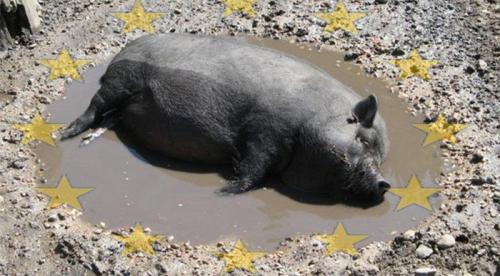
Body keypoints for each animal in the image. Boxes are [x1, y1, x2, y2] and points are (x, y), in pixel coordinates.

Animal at [60, 33, 390, 204]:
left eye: (380, 156)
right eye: (362, 140)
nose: (384, 182)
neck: (313, 118)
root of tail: (123, 50)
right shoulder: (264, 131)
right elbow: (253, 169)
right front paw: (222, 192)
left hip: (125, 103)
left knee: (111, 118)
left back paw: (84, 140)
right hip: (121, 79)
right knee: (95, 105)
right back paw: (64, 135)